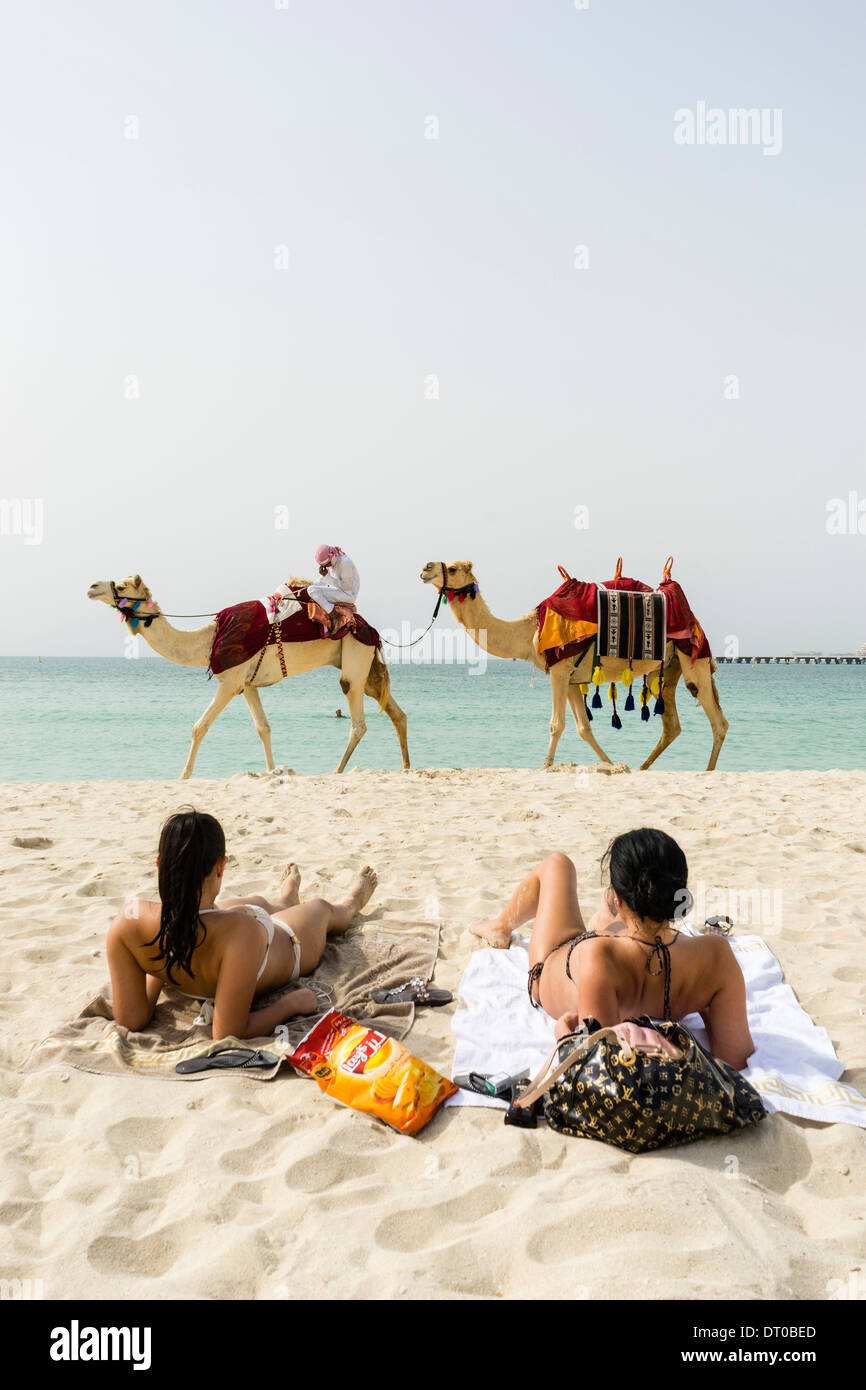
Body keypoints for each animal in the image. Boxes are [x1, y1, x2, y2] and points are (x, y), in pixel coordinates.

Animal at [89, 569, 411, 778]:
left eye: (122, 585)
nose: (92, 586)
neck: (209, 639)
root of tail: (370, 628)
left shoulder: (229, 681)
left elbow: (199, 726)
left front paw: (183, 776)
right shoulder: (248, 684)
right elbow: (263, 728)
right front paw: (271, 771)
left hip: (354, 657)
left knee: (357, 720)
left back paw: (337, 770)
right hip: (365, 669)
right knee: (396, 713)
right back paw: (407, 767)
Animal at [422, 558, 728, 772]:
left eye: (452, 567)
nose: (425, 568)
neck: (529, 632)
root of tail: (695, 620)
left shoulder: (558, 670)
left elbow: (556, 724)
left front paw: (545, 766)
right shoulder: (571, 678)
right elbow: (584, 728)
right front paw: (612, 764)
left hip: (694, 659)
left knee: (718, 721)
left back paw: (708, 770)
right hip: (665, 670)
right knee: (672, 725)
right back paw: (643, 767)